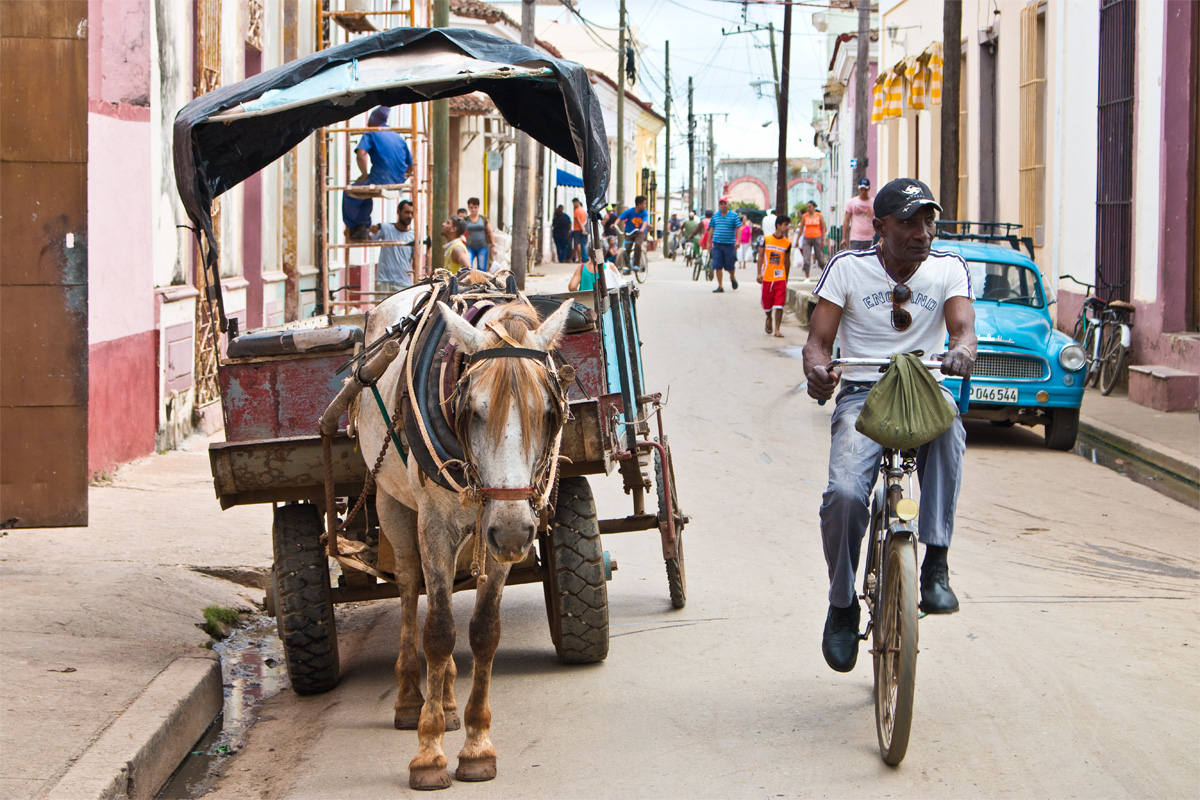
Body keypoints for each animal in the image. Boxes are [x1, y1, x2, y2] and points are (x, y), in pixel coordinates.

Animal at [352, 287, 573, 791]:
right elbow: (437, 631)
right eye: (471, 411)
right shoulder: (435, 525)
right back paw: (411, 698)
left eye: (549, 414)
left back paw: (449, 699)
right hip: (394, 506)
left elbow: (483, 631)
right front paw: (428, 752)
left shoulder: (504, 534)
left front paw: (476, 745)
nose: (510, 531)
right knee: (410, 587)